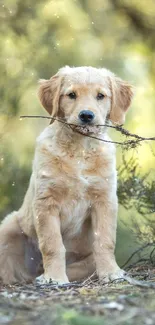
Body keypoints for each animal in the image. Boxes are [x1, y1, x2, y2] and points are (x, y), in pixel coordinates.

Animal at [0, 66, 133, 284]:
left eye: (100, 96)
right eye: (71, 95)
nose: (86, 115)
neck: (80, 150)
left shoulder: (104, 199)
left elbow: (105, 240)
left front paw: (111, 272)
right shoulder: (46, 201)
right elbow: (52, 244)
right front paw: (54, 277)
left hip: (86, 261)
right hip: (8, 227)